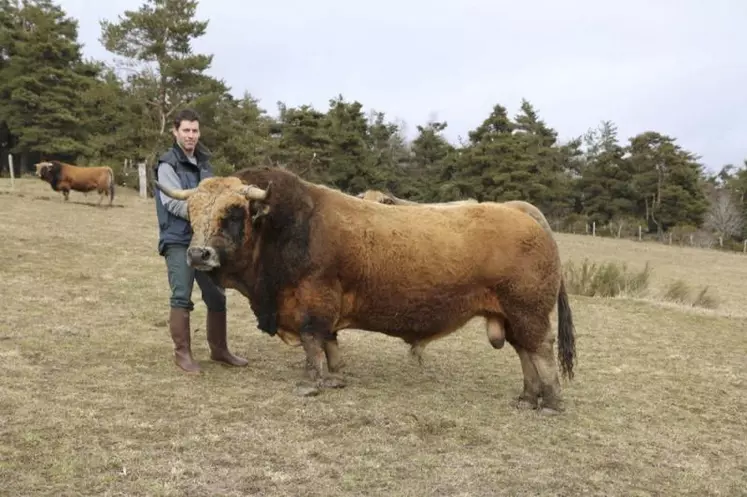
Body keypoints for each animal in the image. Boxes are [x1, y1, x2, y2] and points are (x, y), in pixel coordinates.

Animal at [155, 165, 580, 412]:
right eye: (192, 213)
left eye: (232, 213)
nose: (198, 254)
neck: (284, 228)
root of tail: (519, 209)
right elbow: (330, 343)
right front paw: (335, 376)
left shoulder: (314, 300)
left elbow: (313, 341)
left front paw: (311, 383)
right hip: (510, 314)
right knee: (525, 353)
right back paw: (527, 397)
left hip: (527, 311)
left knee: (540, 350)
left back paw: (551, 401)